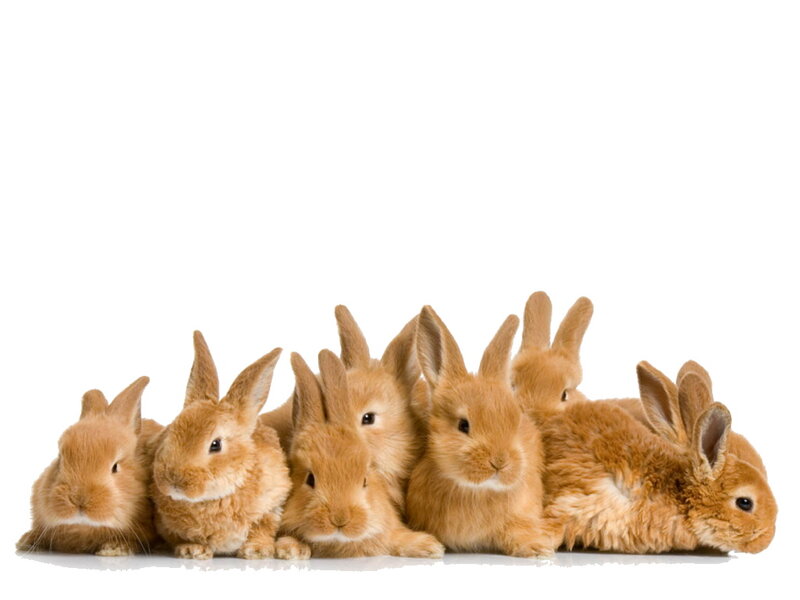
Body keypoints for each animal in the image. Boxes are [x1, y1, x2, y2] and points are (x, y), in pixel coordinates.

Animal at [150, 331, 291, 559]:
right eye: (170, 432)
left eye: (215, 445)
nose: (174, 482)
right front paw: (192, 550)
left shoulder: (272, 505)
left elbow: (262, 528)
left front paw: (257, 551)